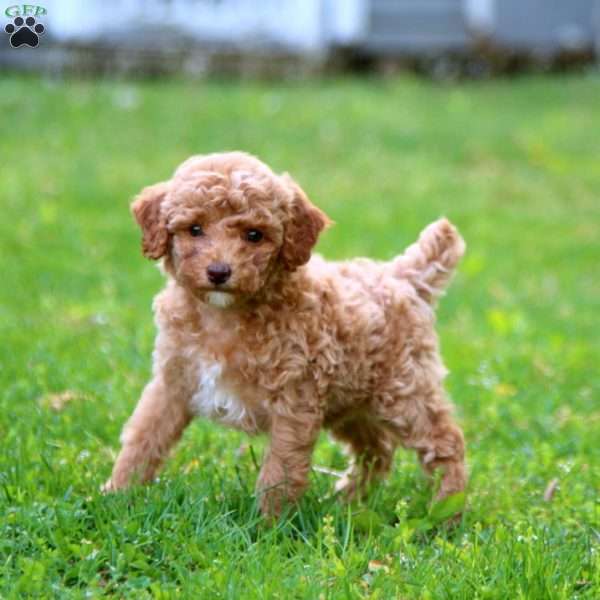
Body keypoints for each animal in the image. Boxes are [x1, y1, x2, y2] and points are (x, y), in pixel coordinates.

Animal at [105, 152, 466, 512]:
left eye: (254, 235)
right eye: (194, 229)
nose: (219, 272)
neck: (223, 316)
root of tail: (401, 277)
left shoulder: (294, 401)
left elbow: (280, 470)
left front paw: (268, 522)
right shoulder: (173, 382)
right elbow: (144, 437)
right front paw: (116, 495)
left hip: (404, 392)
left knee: (446, 441)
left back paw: (446, 510)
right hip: (350, 401)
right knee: (377, 448)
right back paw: (348, 501)